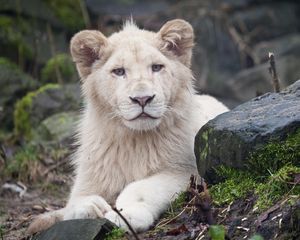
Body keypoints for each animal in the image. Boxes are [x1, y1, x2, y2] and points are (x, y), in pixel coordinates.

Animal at [28, 19, 227, 234]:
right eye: (119, 71)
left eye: (156, 67)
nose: (142, 99)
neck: (134, 140)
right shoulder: (90, 176)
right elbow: (74, 202)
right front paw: (90, 206)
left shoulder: (186, 171)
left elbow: (141, 187)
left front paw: (126, 214)